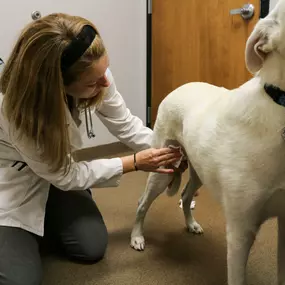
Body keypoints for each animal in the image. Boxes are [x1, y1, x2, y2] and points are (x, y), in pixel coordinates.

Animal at [130, 1, 285, 282]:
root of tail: (180, 87)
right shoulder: (241, 230)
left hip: (199, 170)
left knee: (185, 194)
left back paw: (191, 224)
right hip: (161, 168)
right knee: (142, 203)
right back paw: (137, 237)